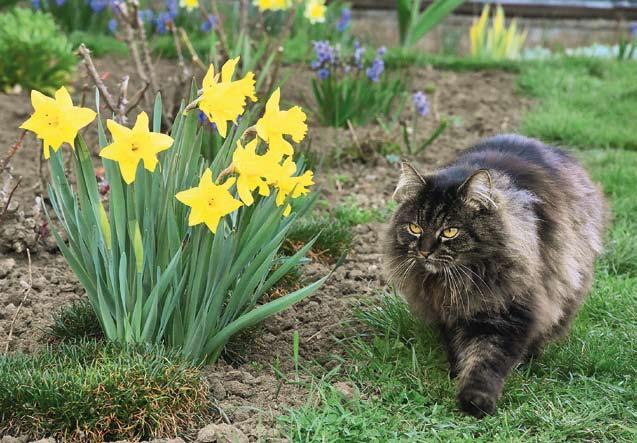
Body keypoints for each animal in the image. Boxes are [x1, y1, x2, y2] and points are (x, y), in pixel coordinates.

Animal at [382, 135, 608, 420]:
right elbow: (457, 346)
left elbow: (486, 358)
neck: (461, 279)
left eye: (450, 231)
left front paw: (477, 400)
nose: (424, 251)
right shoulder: (446, 311)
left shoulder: (507, 312)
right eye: (415, 228)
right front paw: (456, 371)